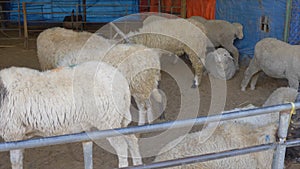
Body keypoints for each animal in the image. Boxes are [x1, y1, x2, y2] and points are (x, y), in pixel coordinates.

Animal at [0, 61, 142, 169]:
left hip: (108, 121)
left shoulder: (13, 133)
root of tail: (122, 82)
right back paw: (138, 163)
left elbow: (15, 161)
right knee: (132, 139)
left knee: (121, 146)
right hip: (119, 119)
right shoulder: (20, 135)